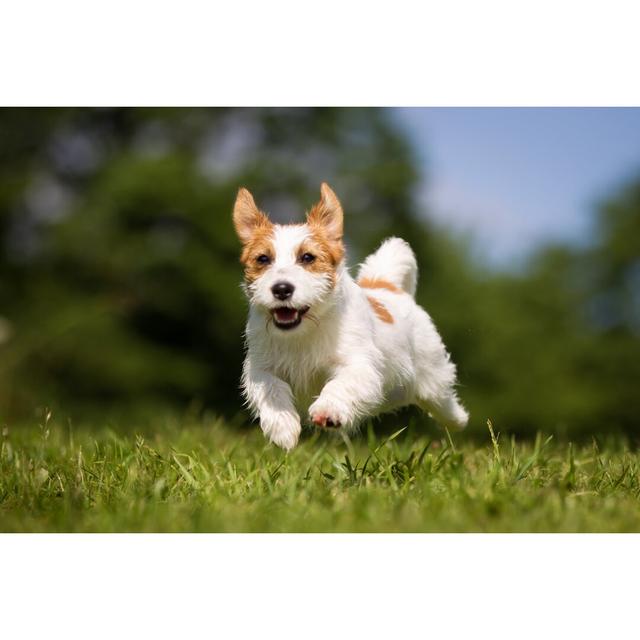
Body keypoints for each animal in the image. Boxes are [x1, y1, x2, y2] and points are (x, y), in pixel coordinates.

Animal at [232, 181, 468, 450]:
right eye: (263, 259)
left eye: (307, 257)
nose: (281, 289)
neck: (305, 331)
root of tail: (385, 285)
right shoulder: (260, 367)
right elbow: (271, 387)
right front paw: (283, 426)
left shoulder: (359, 365)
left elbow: (339, 384)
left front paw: (328, 410)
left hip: (432, 376)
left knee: (443, 401)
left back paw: (458, 419)